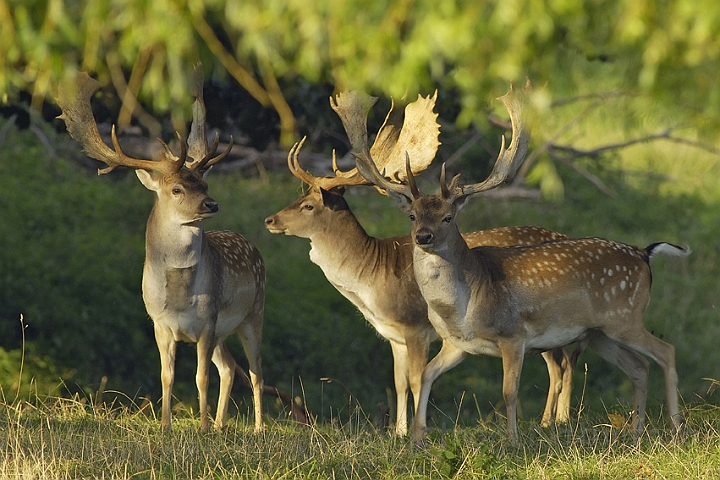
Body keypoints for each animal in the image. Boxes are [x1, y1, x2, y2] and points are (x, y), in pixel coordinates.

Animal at [55, 69, 264, 434]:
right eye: (177, 189)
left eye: (205, 184)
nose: (211, 204)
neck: (179, 294)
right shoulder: (159, 324)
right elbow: (167, 376)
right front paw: (167, 426)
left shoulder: (207, 322)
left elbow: (200, 377)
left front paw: (201, 428)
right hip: (224, 332)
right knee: (229, 367)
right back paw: (222, 425)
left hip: (254, 312)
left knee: (255, 372)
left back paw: (257, 427)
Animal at [354, 80, 692, 444]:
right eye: (413, 216)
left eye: (448, 217)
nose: (423, 237)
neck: (465, 306)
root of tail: (644, 253)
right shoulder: (458, 345)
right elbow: (426, 375)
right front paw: (417, 439)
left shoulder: (513, 334)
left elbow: (508, 391)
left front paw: (512, 442)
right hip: (599, 332)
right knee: (639, 367)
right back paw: (636, 430)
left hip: (625, 317)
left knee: (666, 351)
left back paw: (676, 426)